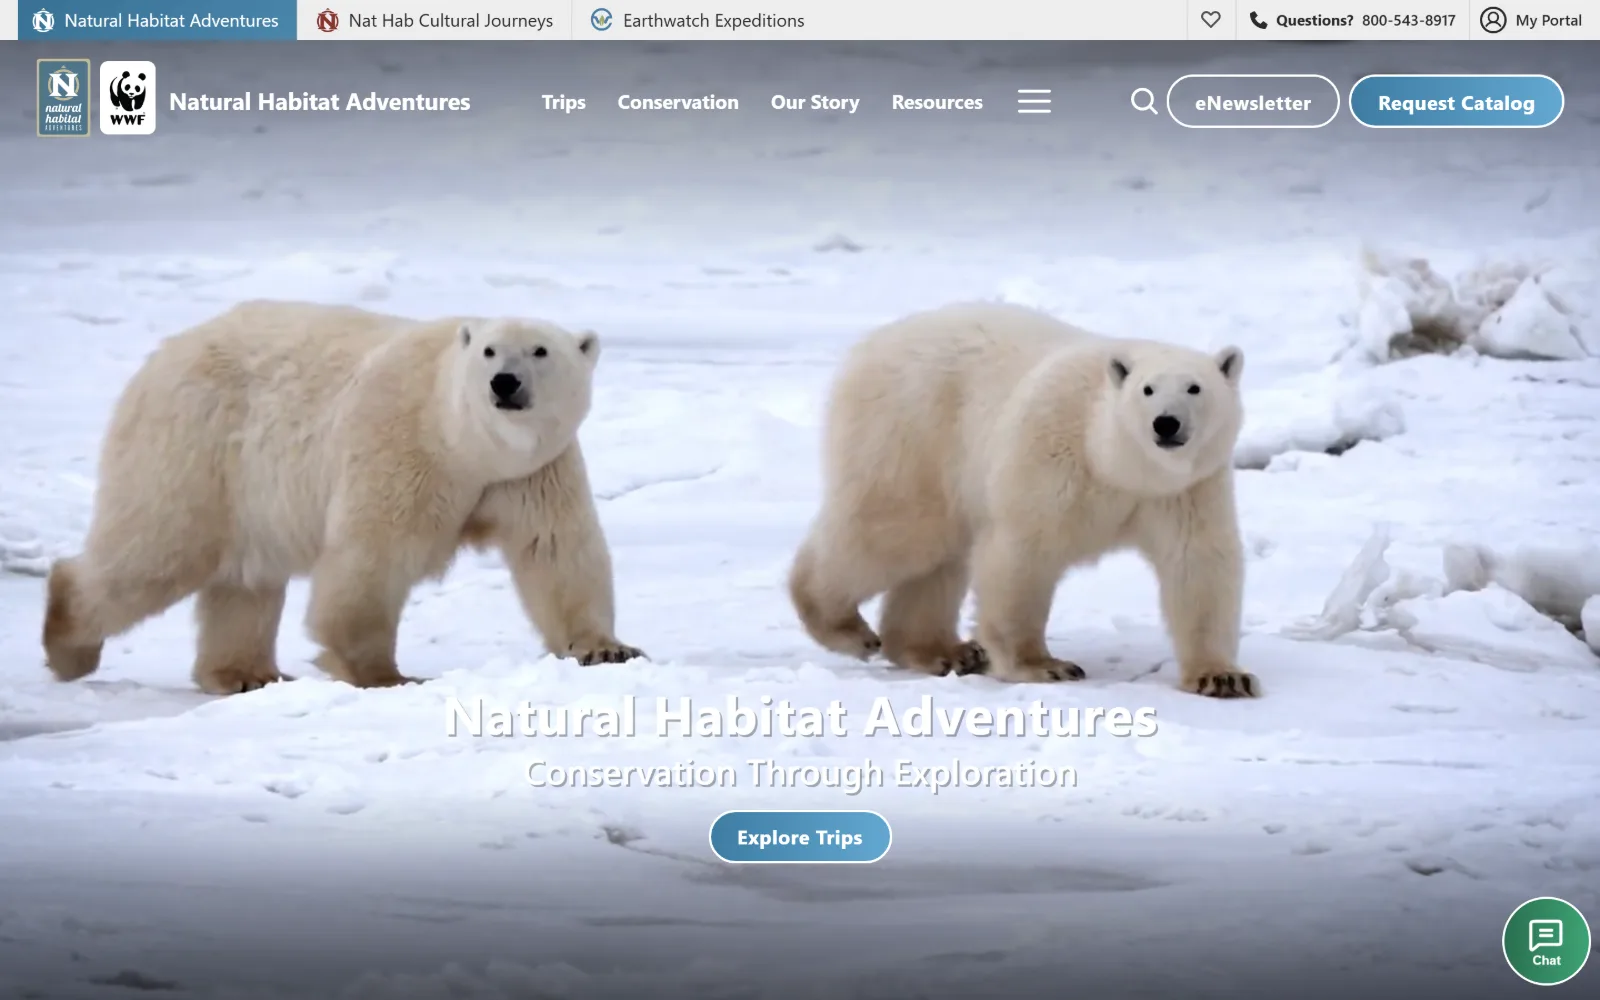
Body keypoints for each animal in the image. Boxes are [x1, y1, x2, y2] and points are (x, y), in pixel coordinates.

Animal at [43, 300, 644, 694]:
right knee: (155, 548)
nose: (504, 383)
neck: (465, 444)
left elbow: (556, 550)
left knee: (244, 579)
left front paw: (607, 648)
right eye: (491, 351)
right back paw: (68, 642)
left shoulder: (534, 472)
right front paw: (386, 674)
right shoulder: (401, 444)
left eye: (540, 350)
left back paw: (246, 674)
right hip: (196, 445)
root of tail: (162, 354)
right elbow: (374, 557)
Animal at [788, 301, 1257, 698]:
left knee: (939, 557)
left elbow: (1198, 564)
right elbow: (1023, 554)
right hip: (911, 434)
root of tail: (868, 346)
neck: (1115, 462)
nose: (1166, 423)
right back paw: (849, 628)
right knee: (895, 531)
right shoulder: (1051, 459)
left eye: (1195, 388)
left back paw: (945, 651)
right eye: (1147, 389)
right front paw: (1045, 666)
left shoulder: (1187, 490)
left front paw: (1223, 677)